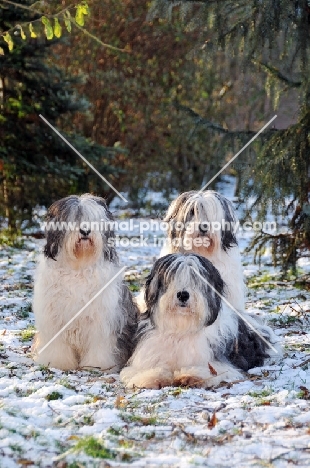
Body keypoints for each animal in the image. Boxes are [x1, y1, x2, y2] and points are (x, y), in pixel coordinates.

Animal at [32, 193, 137, 370]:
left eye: (93, 219)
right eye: (74, 218)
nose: (85, 230)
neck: (79, 266)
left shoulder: (102, 316)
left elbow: (99, 342)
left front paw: (97, 364)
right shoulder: (54, 315)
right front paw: (57, 362)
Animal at [120, 254, 280, 390]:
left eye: (196, 279)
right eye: (171, 279)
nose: (183, 295)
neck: (181, 328)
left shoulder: (221, 364)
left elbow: (212, 369)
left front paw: (191, 375)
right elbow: (141, 370)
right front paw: (151, 376)